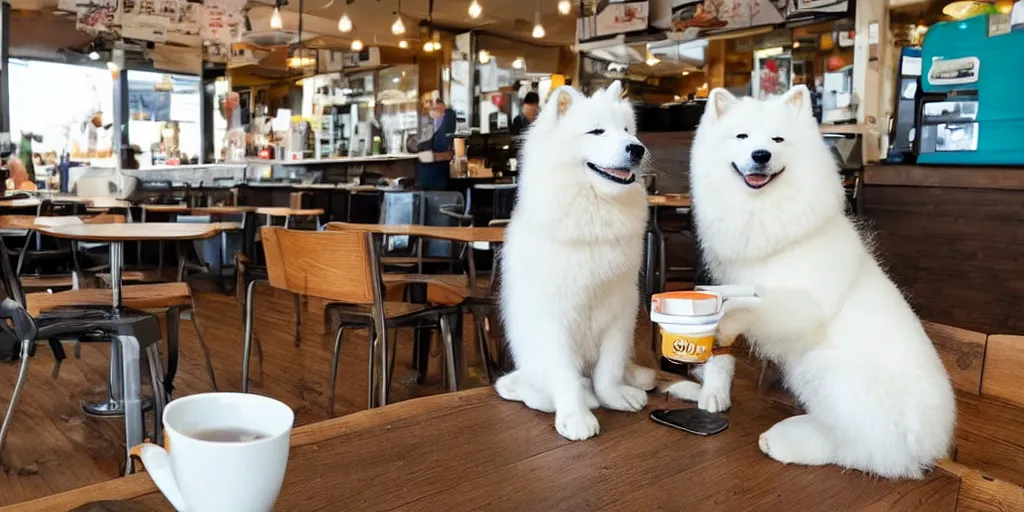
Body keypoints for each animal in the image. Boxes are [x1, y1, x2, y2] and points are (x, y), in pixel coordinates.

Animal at [493, 81, 655, 442]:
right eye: (596, 131)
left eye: (627, 131)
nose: (637, 149)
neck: (595, 210)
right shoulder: (554, 317)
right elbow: (564, 375)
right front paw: (575, 417)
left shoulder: (621, 308)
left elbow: (609, 368)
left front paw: (615, 397)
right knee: (527, 387)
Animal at [675, 86, 954, 477]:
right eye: (742, 137)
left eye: (777, 140)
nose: (761, 155)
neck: (763, 211)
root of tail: (933, 445)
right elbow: (724, 323)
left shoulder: (802, 303)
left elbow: (751, 307)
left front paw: (726, 320)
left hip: (824, 369)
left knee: (861, 450)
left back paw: (788, 441)